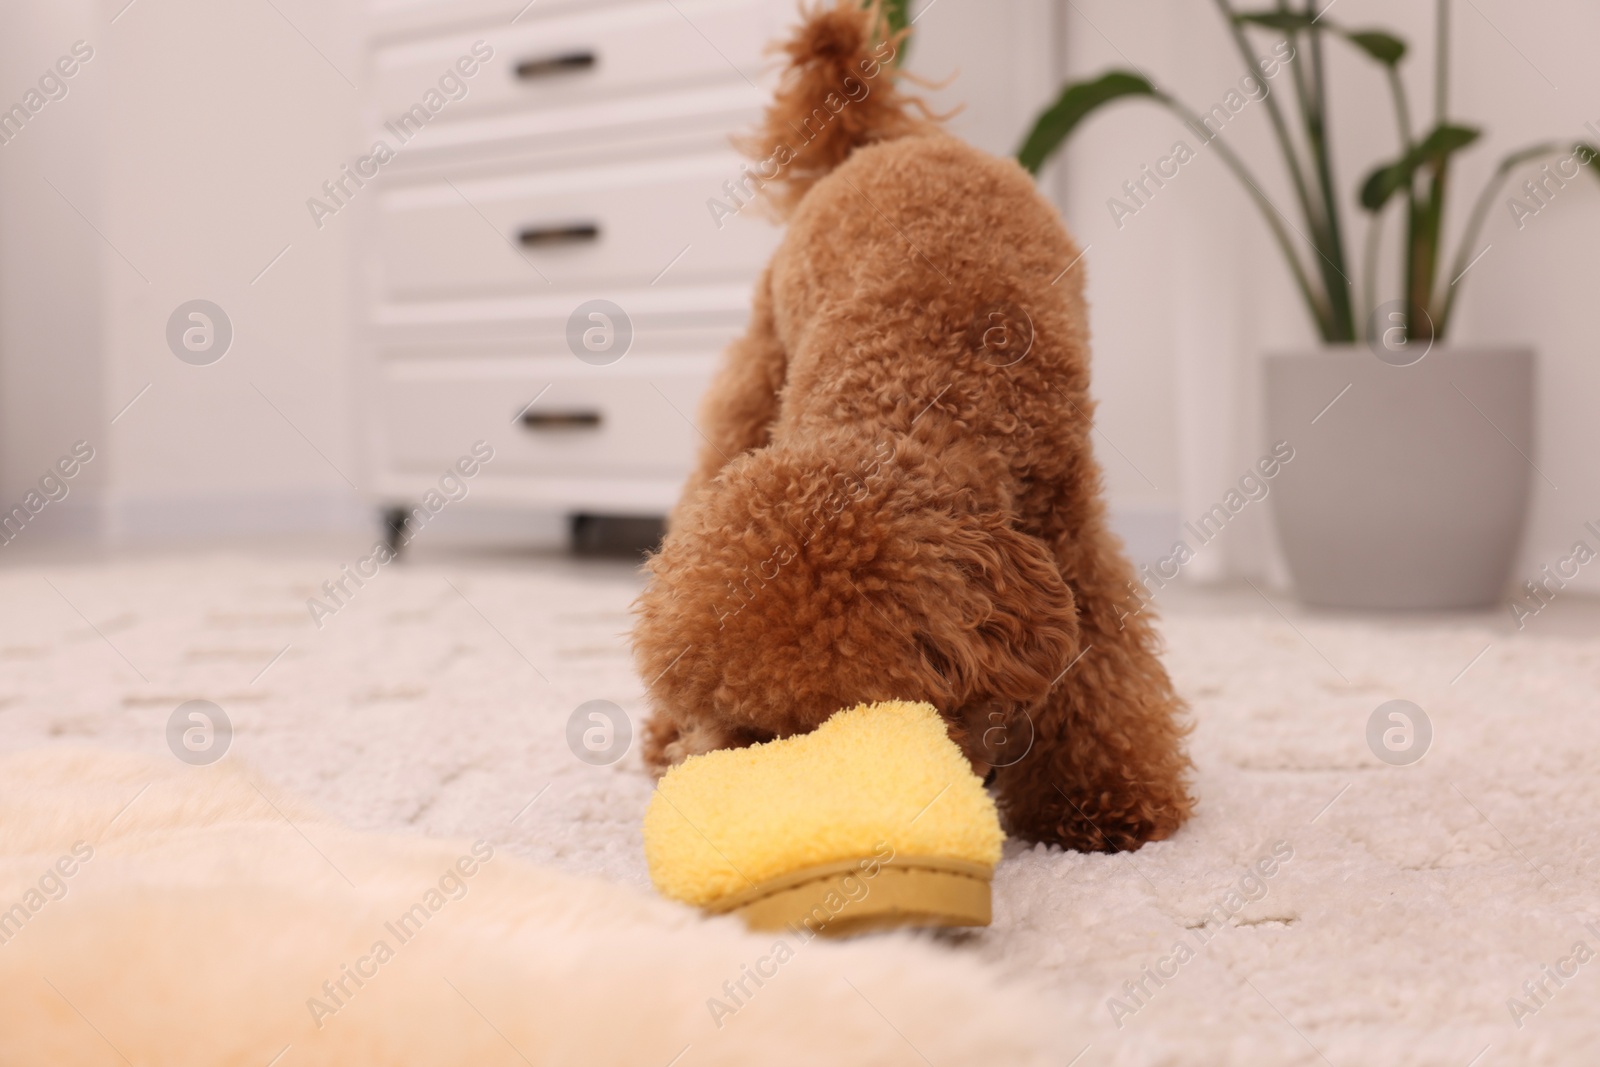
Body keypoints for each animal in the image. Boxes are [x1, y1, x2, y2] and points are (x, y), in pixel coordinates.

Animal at [630, 0, 1196, 851]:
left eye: (860, 735)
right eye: (746, 729)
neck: (913, 400)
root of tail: (877, 145)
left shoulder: (1070, 534)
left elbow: (1100, 672)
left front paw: (1101, 802)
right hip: (756, 379)